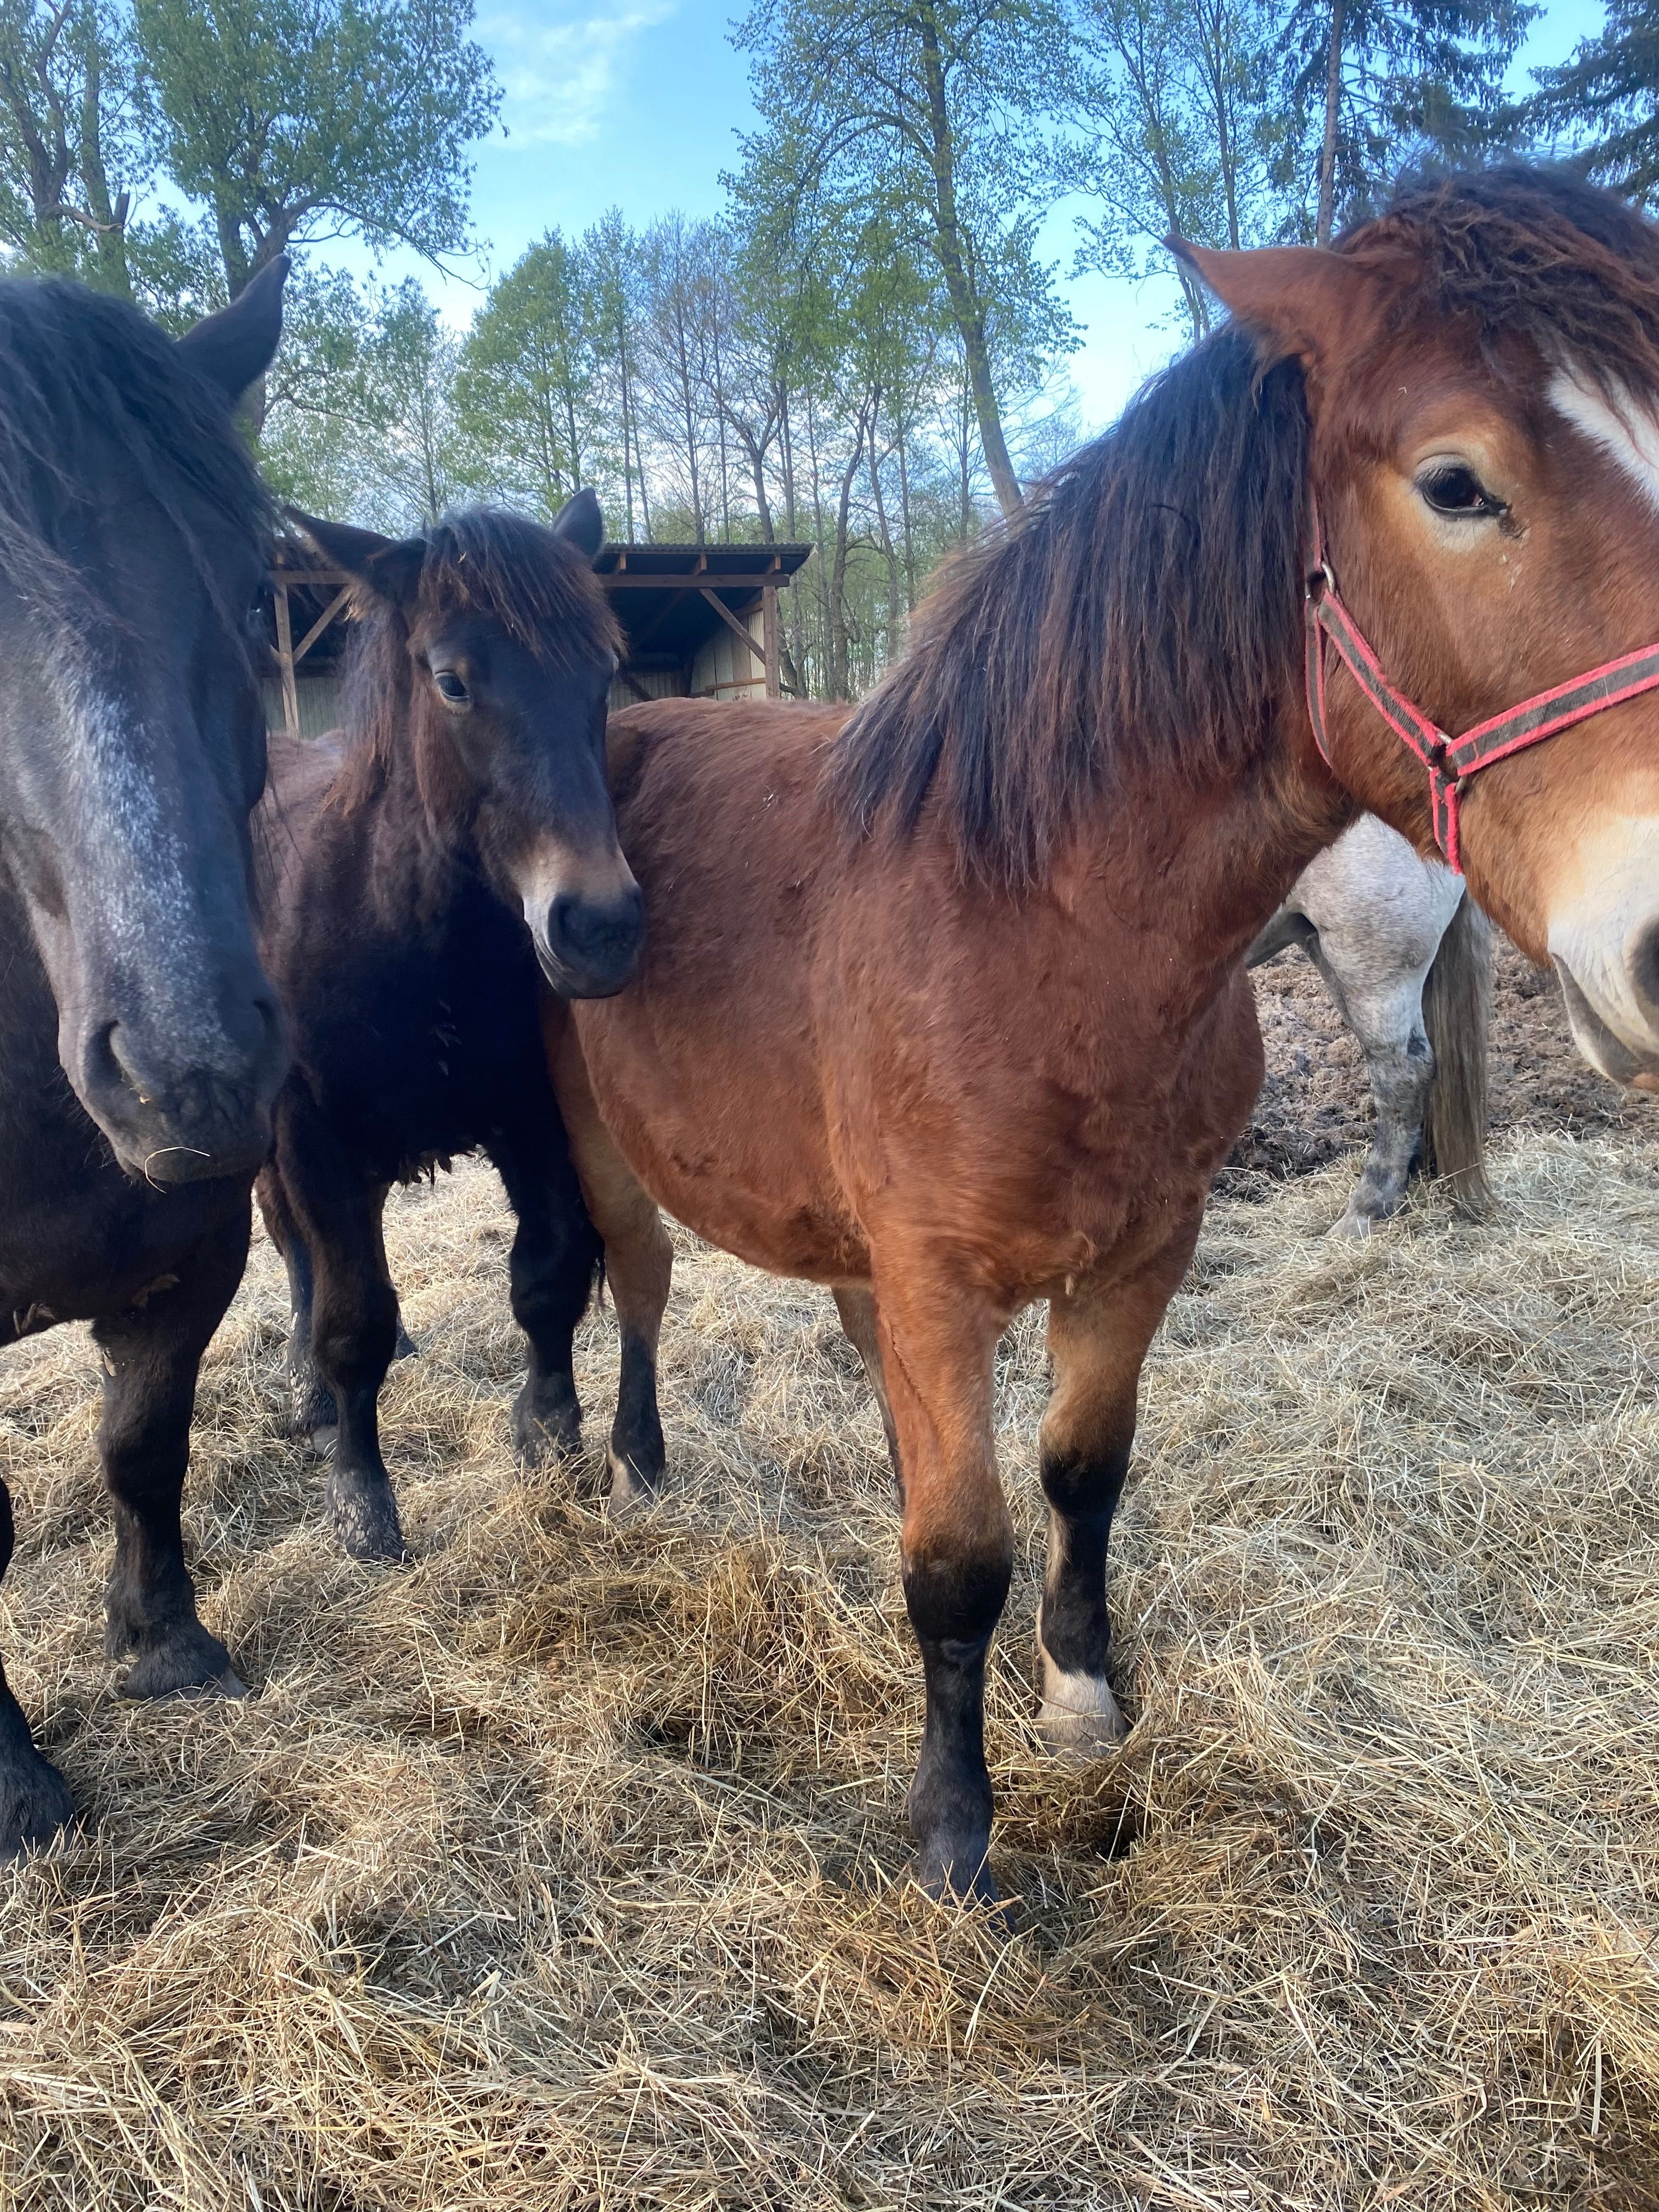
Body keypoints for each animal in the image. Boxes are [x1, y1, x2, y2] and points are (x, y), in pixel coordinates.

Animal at [253, 498, 663, 1575]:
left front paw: (548, 1428)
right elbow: (351, 1316)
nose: (599, 927)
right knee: (296, 1248)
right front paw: (361, 1498)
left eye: (604, 671)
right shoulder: (313, 1136)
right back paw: (309, 1394)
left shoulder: (534, 1111)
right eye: (452, 681)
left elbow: (549, 1271)